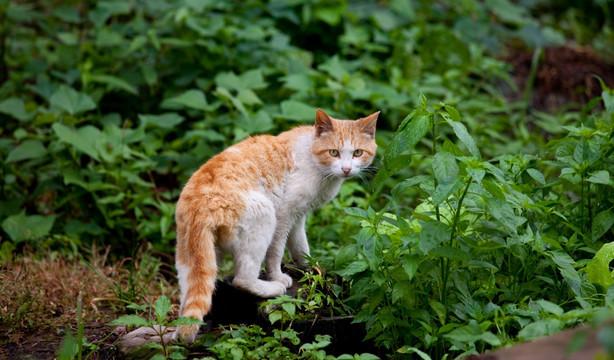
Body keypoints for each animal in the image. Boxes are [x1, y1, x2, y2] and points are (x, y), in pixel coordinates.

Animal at [171, 107, 378, 344]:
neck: (313, 157)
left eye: (358, 153)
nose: (346, 169)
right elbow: (277, 251)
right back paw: (273, 288)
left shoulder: (298, 216)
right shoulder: (285, 213)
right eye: (334, 152)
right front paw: (278, 275)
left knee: (190, 298)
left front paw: (310, 267)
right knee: (242, 279)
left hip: (194, 257)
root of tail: (199, 204)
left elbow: (300, 244)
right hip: (264, 216)